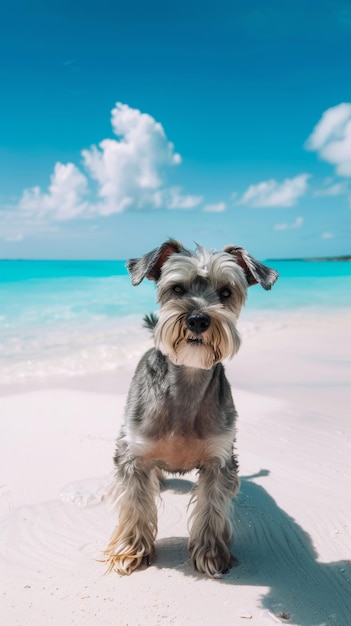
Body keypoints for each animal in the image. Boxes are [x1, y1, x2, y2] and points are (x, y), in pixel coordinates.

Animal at [103, 238, 280, 576]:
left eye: (226, 292)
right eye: (177, 289)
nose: (198, 319)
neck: (188, 377)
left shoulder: (219, 460)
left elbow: (212, 506)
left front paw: (210, 554)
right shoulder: (133, 456)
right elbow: (134, 503)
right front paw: (130, 550)